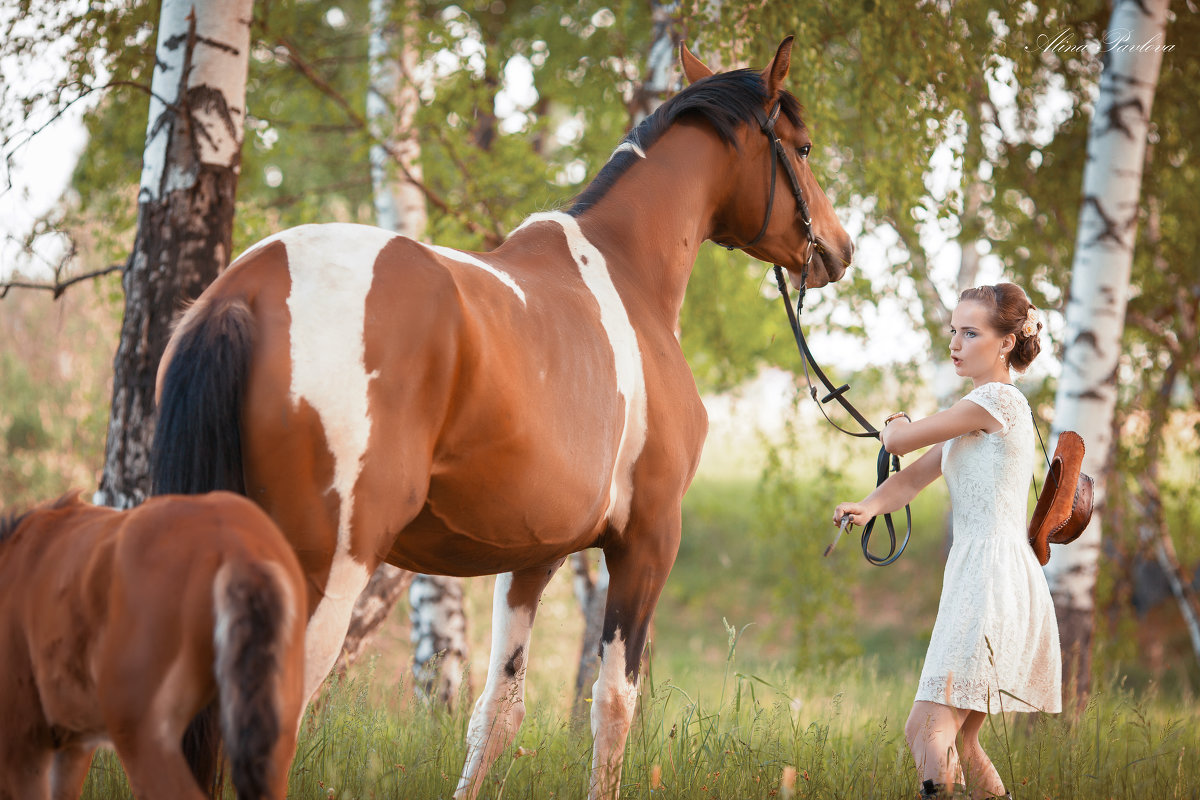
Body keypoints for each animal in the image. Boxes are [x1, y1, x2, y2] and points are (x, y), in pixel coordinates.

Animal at [152, 38, 854, 800]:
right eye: (803, 148)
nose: (839, 249)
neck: (627, 277)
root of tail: (248, 290)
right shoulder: (647, 539)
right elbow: (612, 704)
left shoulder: (533, 556)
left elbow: (498, 711)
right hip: (323, 574)